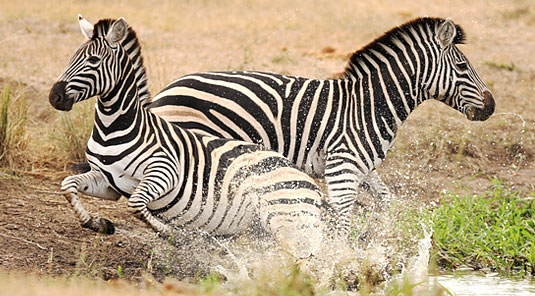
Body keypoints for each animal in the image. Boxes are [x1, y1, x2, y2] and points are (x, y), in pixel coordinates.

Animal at [48, 16, 330, 258]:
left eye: (94, 60)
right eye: (72, 57)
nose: (55, 97)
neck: (111, 128)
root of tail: (305, 179)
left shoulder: (165, 170)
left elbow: (137, 204)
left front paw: (174, 235)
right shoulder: (108, 182)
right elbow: (68, 185)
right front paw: (98, 223)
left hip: (287, 215)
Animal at [149, 17, 496, 232]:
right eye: (462, 66)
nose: (491, 106)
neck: (370, 105)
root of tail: (164, 91)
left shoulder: (362, 165)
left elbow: (385, 199)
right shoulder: (343, 166)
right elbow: (343, 217)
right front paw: (341, 259)